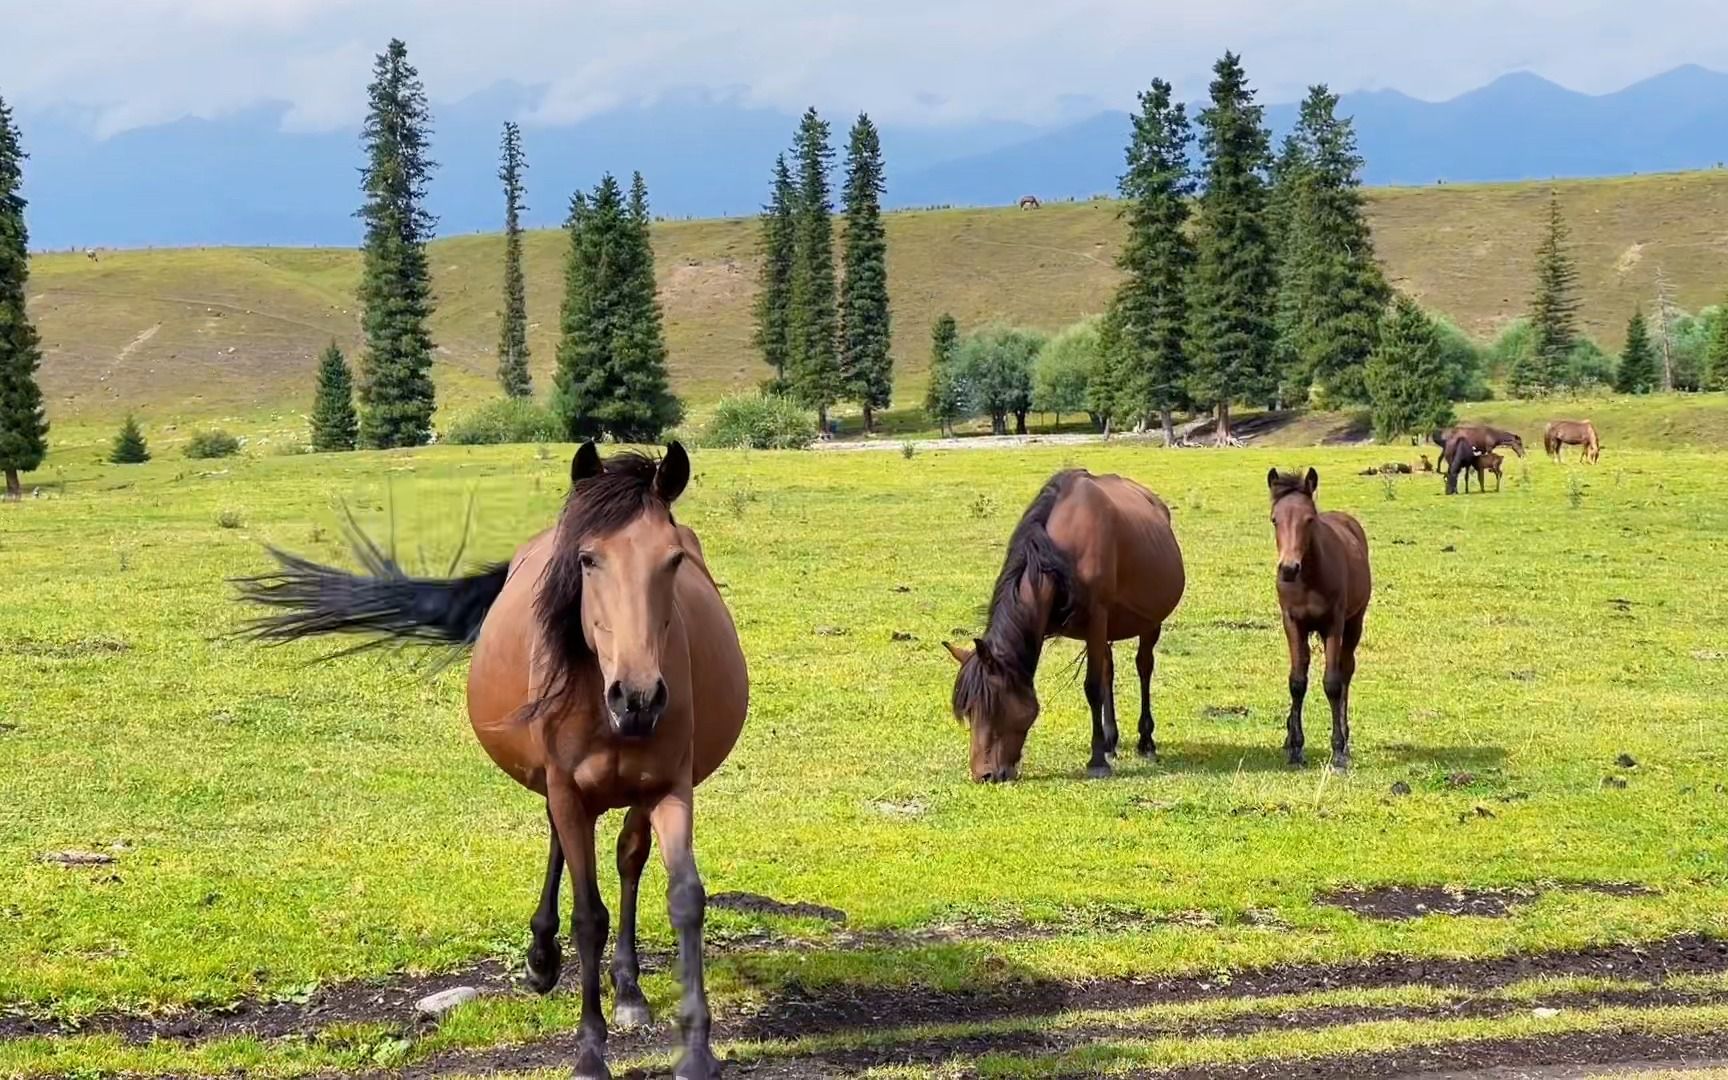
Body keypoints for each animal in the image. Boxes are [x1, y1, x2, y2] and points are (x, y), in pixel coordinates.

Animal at [238, 440, 749, 1078]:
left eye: (673, 559)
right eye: (587, 560)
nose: (637, 697)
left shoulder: (671, 787)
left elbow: (685, 900)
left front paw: (696, 1051)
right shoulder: (566, 788)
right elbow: (588, 916)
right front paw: (589, 1052)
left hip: (637, 791)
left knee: (629, 857)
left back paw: (628, 989)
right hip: (563, 788)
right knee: (565, 847)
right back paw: (542, 959)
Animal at [946, 466, 1188, 777]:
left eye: (994, 706)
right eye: (969, 710)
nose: (984, 775)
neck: (1060, 556)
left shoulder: (1097, 618)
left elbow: (1093, 687)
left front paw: (1097, 761)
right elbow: (1102, 678)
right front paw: (1103, 747)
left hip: (1149, 623)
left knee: (1144, 667)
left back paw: (1145, 741)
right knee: (1110, 670)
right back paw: (1111, 741)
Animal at [1264, 470, 1368, 767]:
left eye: (1309, 519)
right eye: (1274, 519)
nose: (1288, 568)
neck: (1309, 581)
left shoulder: (1333, 624)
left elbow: (1332, 683)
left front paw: (1338, 752)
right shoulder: (1292, 623)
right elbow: (1297, 682)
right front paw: (1296, 749)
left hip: (1354, 623)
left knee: (1346, 670)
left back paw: (1345, 740)